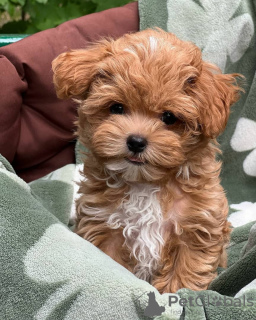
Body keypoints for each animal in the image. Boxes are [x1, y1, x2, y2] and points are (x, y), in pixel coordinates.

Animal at [52, 28, 242, 294]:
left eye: (169, 117)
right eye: (116, 107)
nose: (136, 141)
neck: (146, 184)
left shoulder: (196, 228)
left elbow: (182, 274)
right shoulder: (104, 225)